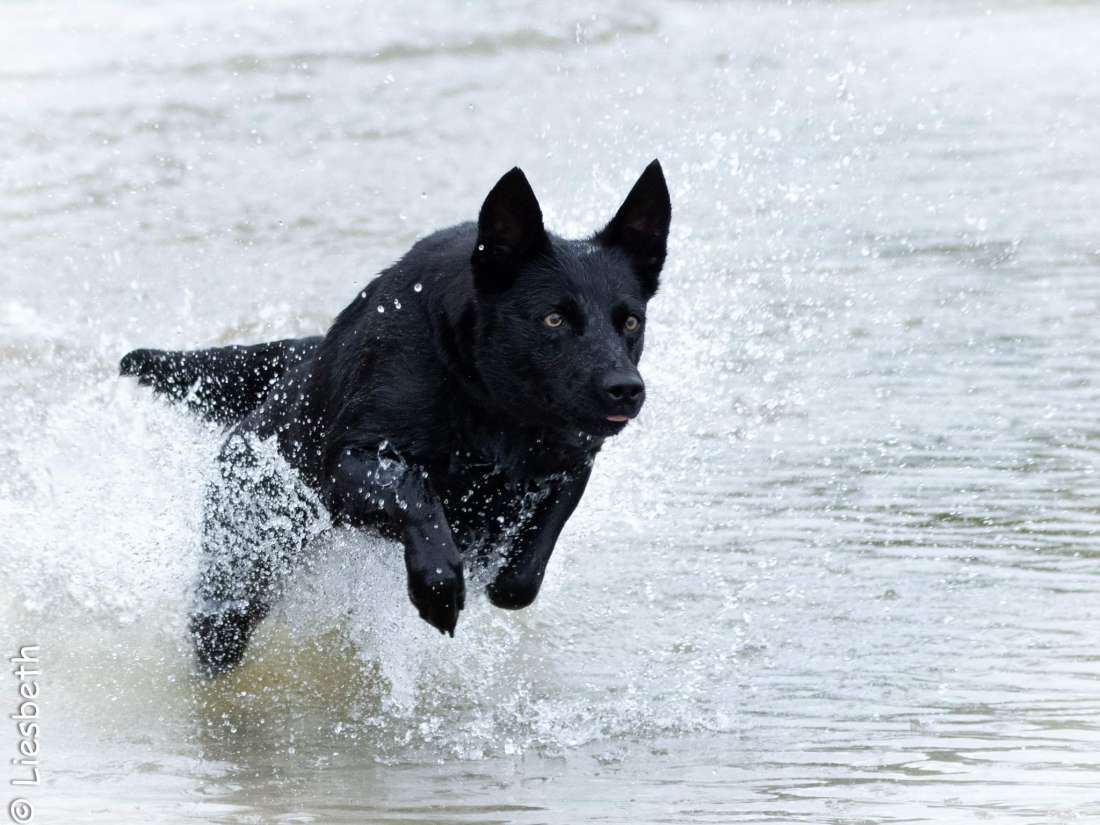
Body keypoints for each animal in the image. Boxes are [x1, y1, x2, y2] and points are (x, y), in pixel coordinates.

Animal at [120, 161, 668, 677]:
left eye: (631, 321)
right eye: (554, 319)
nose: (625, 388)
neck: (487, 401)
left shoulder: (573, 462)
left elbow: (521, 577)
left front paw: (488, 567)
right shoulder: (349, 460)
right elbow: (414, 492)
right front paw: (437, 585)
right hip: (241, 565)